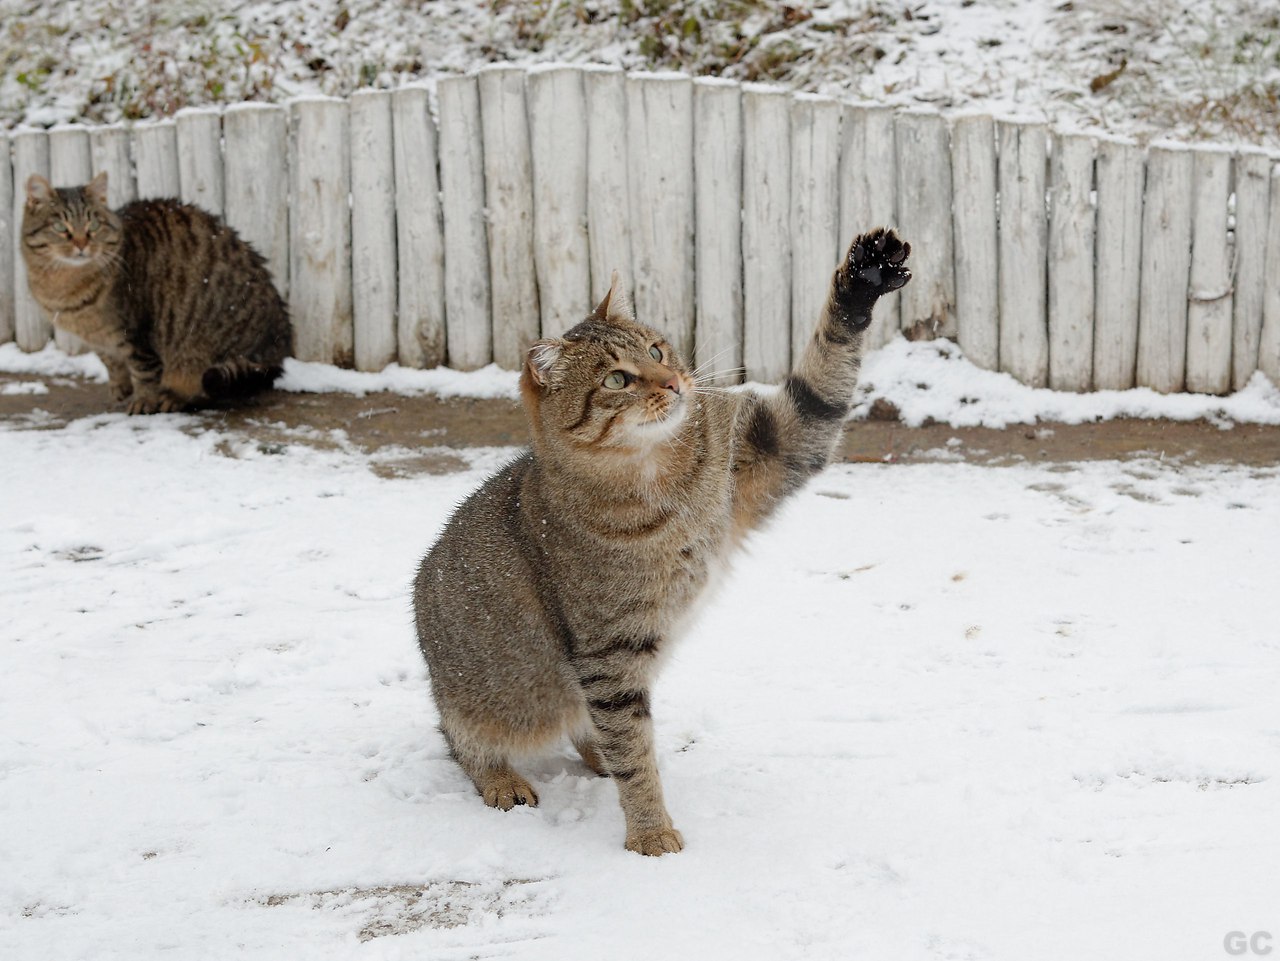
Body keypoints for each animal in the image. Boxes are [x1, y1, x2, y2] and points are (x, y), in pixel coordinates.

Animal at [20, 172, 290, 414]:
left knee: (207, 386)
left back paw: (173, 398)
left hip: (207, 350)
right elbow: (112, 364)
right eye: (59, 226)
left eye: (93, 225)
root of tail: (280, 344)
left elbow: (145, 373)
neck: (65, 288)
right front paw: (120, 391)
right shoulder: (99, 340)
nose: (81, 244)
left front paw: (144, 402)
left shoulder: (137, 334)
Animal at [412, 227, 911, 854]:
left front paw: (862, 278)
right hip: (485, 703)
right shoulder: (609, 653)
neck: (660, 478)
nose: (675, 382)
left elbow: (820, 384)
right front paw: (650, 832)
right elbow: (632, 751)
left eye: (655, 351)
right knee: (464, 743)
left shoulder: (775, 445)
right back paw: (504, 780)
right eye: (615, 379)